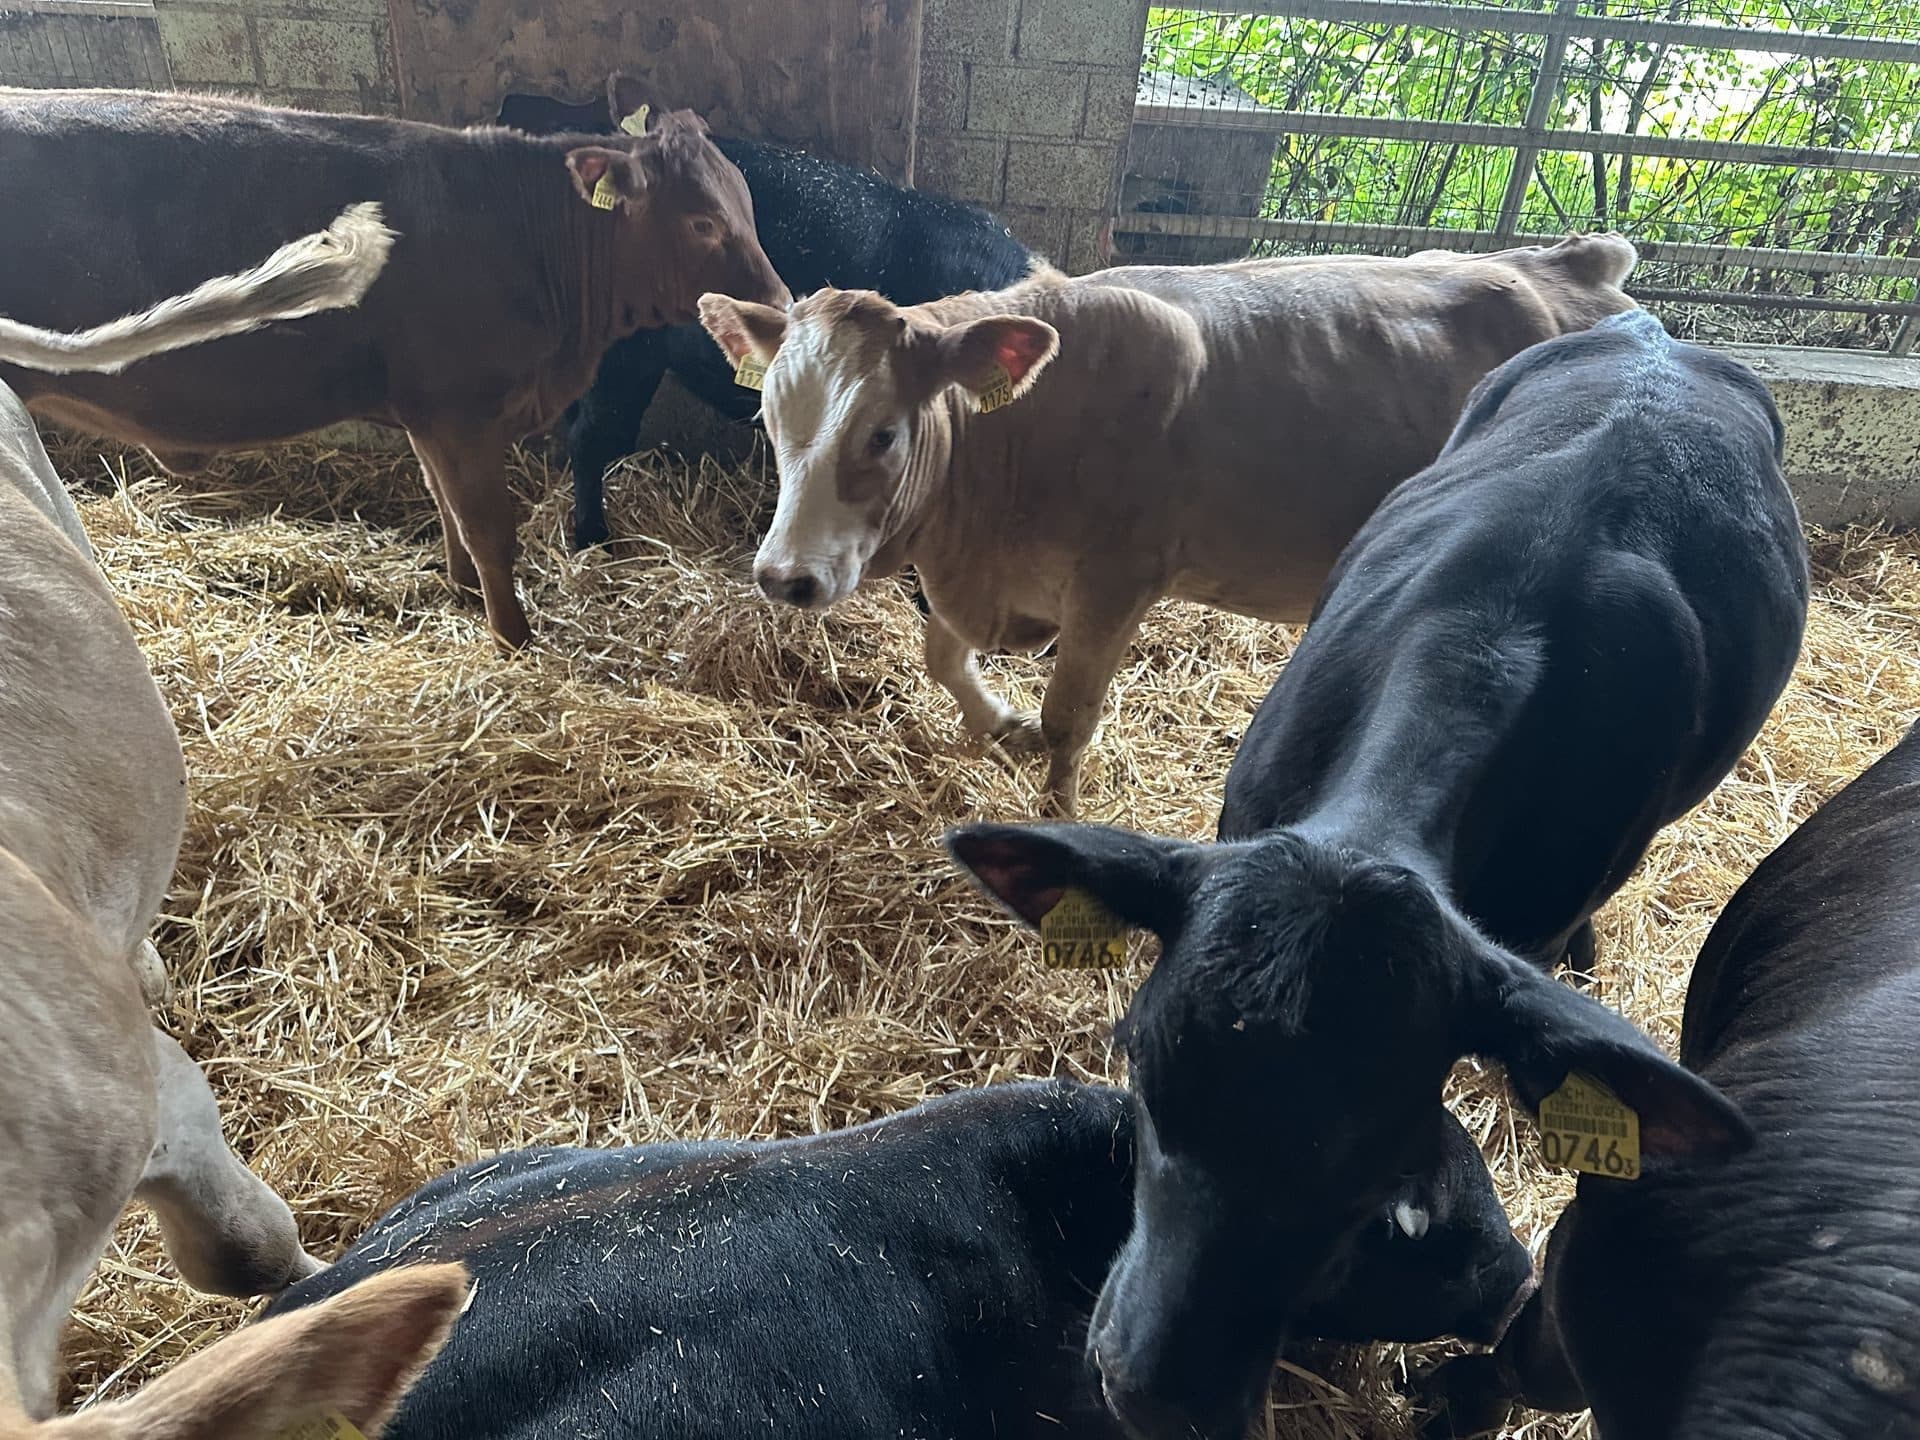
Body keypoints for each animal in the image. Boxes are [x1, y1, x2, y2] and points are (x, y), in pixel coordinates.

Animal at [0, 84, 790, 649]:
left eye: (748, 201)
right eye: (702, 222)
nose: (781, 306)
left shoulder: (429, 414)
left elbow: (446, 509)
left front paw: (465, 594)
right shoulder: (461, 411)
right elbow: (487, 526)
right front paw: (514, 638)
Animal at [698, 236, 1639, 814]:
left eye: (883, 434)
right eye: (771, 418)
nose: (785, 577)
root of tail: (1574, 264)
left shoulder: (1116, 583)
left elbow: (1069, 718)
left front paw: (1053, 815)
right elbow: (944, 661)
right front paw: (999, 725)